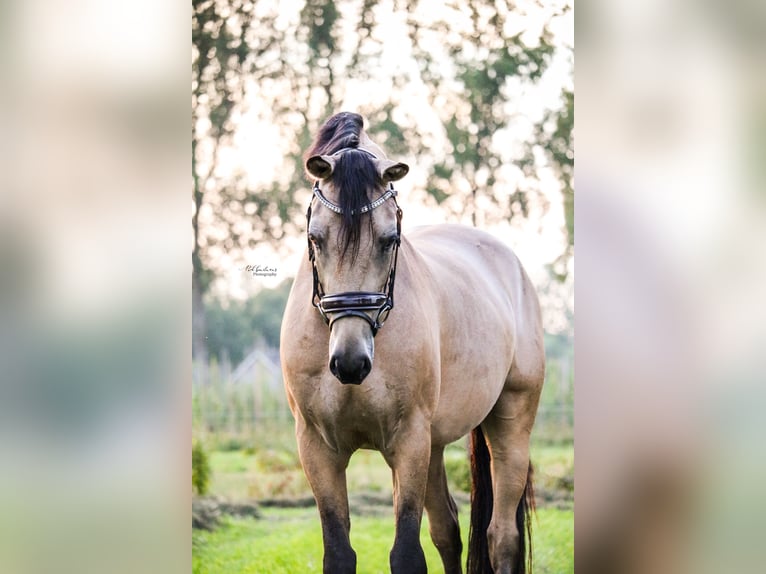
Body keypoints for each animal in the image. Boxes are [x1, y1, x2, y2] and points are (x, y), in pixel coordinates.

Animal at [282, 112, 544, 574]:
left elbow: (406, 554)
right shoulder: (317, 447)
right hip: (435, 446)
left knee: (501, 537)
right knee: (448, 531)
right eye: (315, 238)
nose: (350, 362)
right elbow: (339, 552)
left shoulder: (408, 441)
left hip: (509, 424)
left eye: (390, 240)